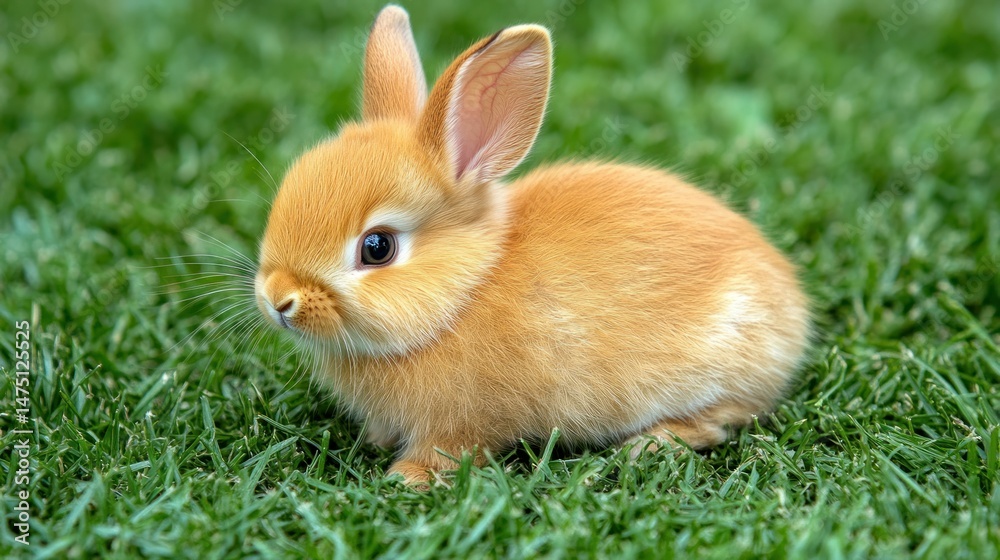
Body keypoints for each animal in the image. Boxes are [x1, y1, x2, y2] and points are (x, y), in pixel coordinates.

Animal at [253, 4, 810, 485]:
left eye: (377, 248)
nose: (278, 299)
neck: (465, 294)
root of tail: (791, 303)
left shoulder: (465, 419)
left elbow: (452, 448)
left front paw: (407, 478)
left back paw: (650, 443)